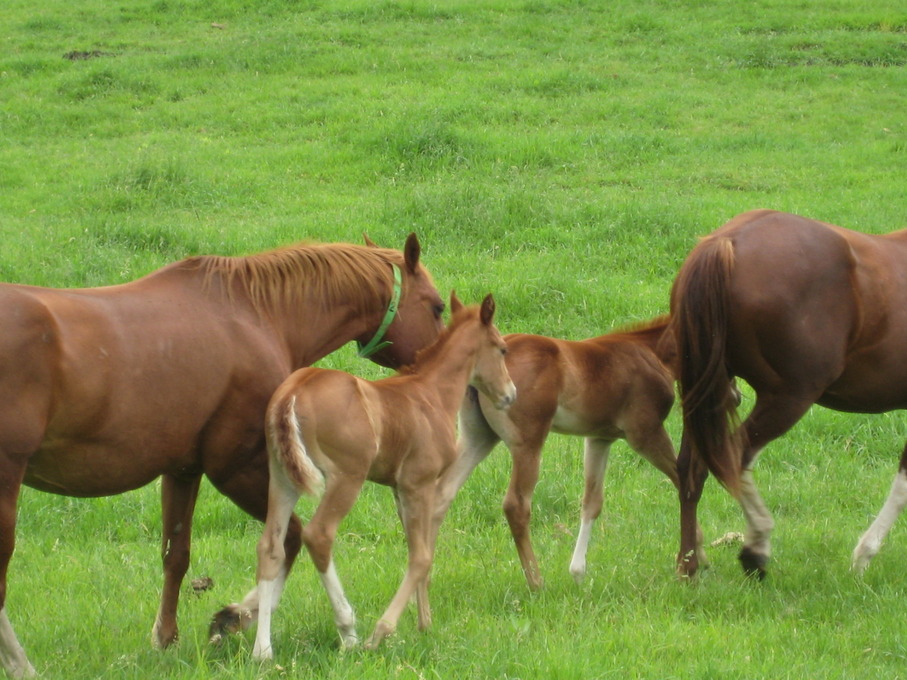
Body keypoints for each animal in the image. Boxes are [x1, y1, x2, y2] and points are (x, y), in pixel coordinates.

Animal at [0, 232, 444, 676]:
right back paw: (21, 664)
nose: (431, 376)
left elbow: (176, 555)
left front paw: (169, 637)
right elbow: (288, 540)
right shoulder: (236, 469)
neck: (256, 314)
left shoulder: (183, 470)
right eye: (438, 307)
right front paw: (240, 619)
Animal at [432, 318, 708, 588]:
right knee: (516, 506)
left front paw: (577, 571)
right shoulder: (645, 433)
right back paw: (536, 582)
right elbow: (683, 480)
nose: (730, 395)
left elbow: (592, 502)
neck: (652, 351)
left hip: (478, 437)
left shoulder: (599, 438)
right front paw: (694, 557)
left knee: (441, 494)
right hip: (528, 444)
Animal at [672, 211, 907, 580]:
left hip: (706, 393)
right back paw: (755, 548)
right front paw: (863, 556)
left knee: (690, 470)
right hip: (788, 398)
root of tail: (727, 241)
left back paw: (690, 564)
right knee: (734, 457)